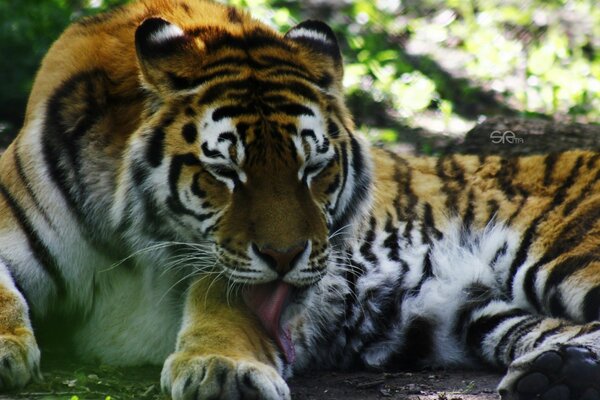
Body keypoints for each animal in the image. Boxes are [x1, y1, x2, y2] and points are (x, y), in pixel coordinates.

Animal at [1, 0, 600, 398]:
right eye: (226, 172)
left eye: (313, 169)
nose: (285, 257)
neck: (132, 247)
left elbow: (223, 300)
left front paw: (222, 370)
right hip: (493, 313)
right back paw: (557, 374)